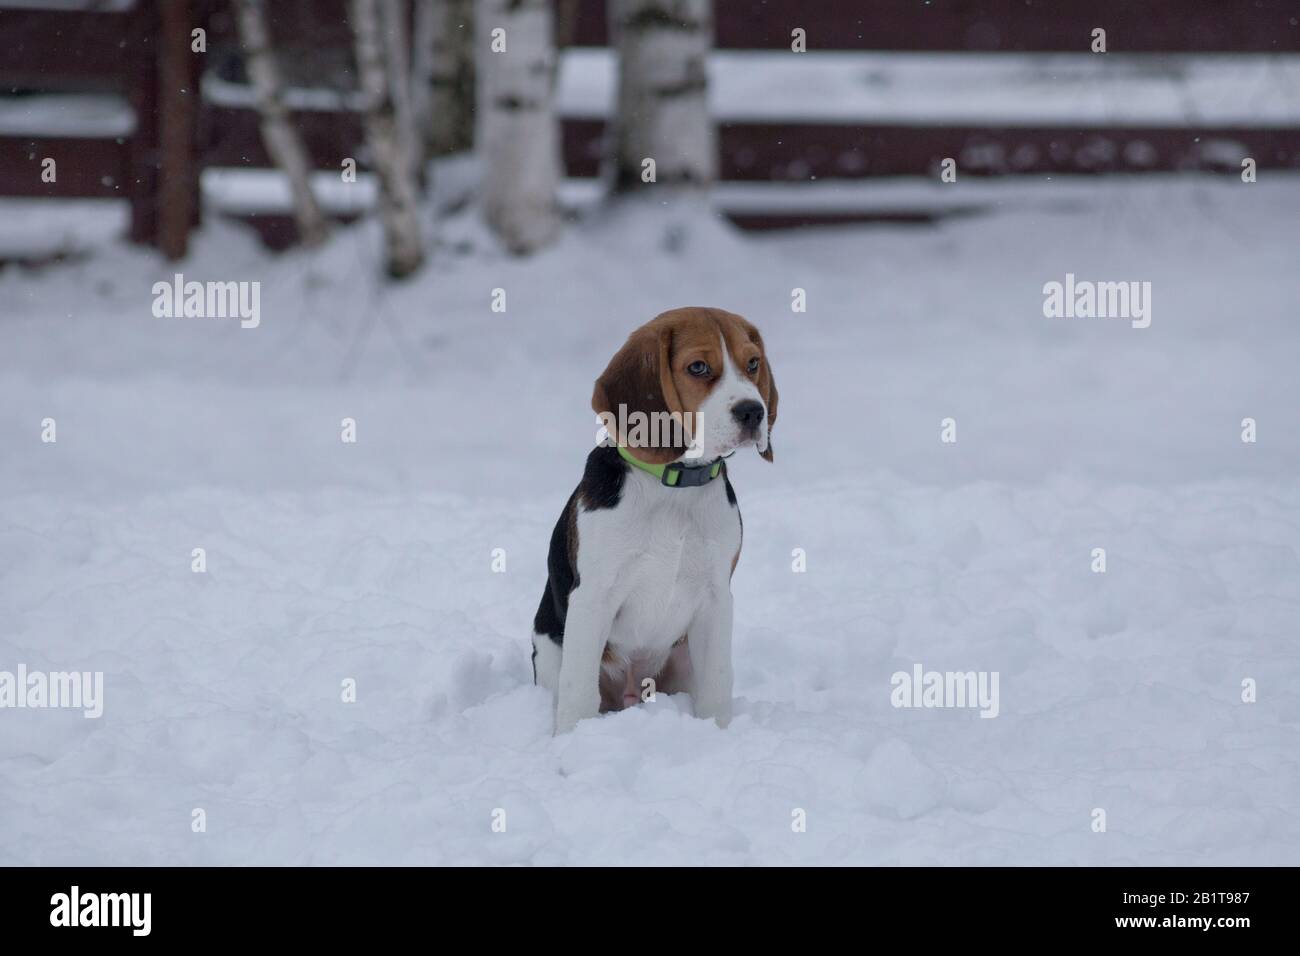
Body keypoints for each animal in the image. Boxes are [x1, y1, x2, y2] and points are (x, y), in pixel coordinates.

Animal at [530, 306, 774, 733]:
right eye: (697, 366)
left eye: (753, 363)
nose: (753, 411)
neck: (673, 487)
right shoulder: (592, 598)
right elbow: (578, 691)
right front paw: (571, 740)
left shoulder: (715, 598)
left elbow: (717, 684)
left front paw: (720, 733)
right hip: (549, 648)